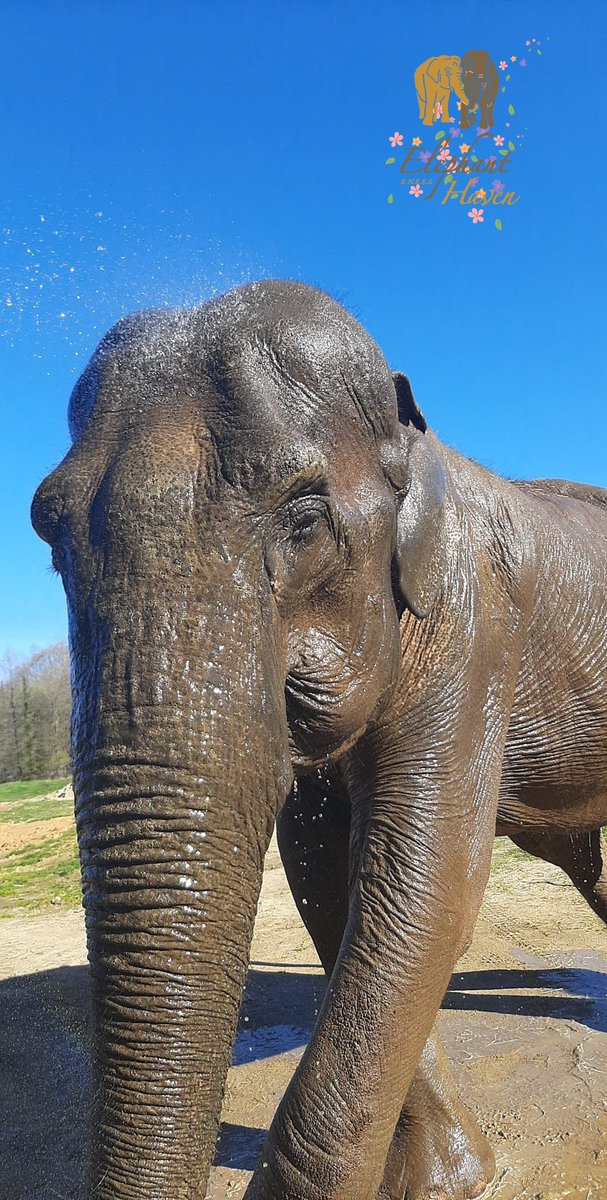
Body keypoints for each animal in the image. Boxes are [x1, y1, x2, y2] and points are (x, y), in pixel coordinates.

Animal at [31, 279, 607, 1200]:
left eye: (303, 518)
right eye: (50, 538)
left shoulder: (472, 623)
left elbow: (426, 880)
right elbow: (329, 880)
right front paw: (448, 1183)